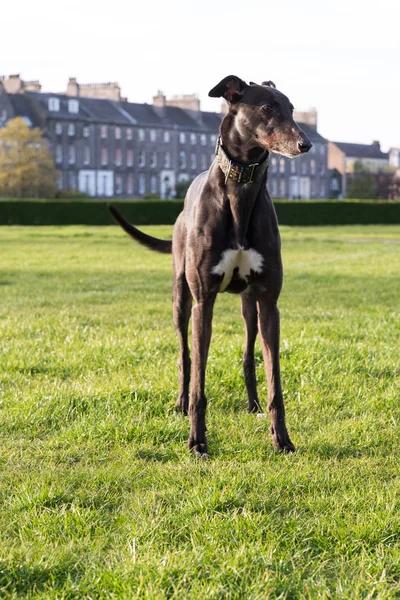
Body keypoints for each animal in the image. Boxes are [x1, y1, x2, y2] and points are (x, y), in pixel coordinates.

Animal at [109, 76, 312, 460]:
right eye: (267, 107)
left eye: (293, 108)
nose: (304, 144)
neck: (240, 191)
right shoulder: (204, 301)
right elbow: (199, 383)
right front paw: (197, 441)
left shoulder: (269, 303)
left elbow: (274, 381)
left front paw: (282, 439)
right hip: (181, 299)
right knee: (185, 357)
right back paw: (179, 402)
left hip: (250, 306)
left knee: (248, 356)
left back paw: (252, 404)